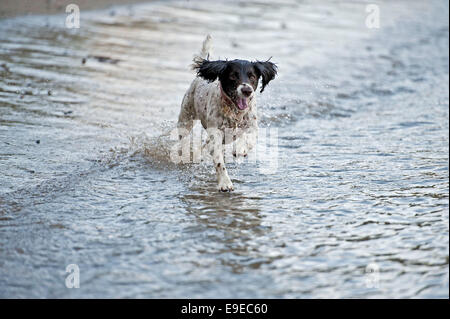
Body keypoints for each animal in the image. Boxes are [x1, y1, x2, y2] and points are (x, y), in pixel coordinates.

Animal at [177, 35, 276, 191]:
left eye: (252, 76)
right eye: (233, 76)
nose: (247, 90)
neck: (234, 112)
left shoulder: (252, 126)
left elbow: (249, 138)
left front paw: (240, 148)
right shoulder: (215, 133)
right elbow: (219, 161)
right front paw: (225, 182)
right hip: (186, 116)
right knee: (184, 137)